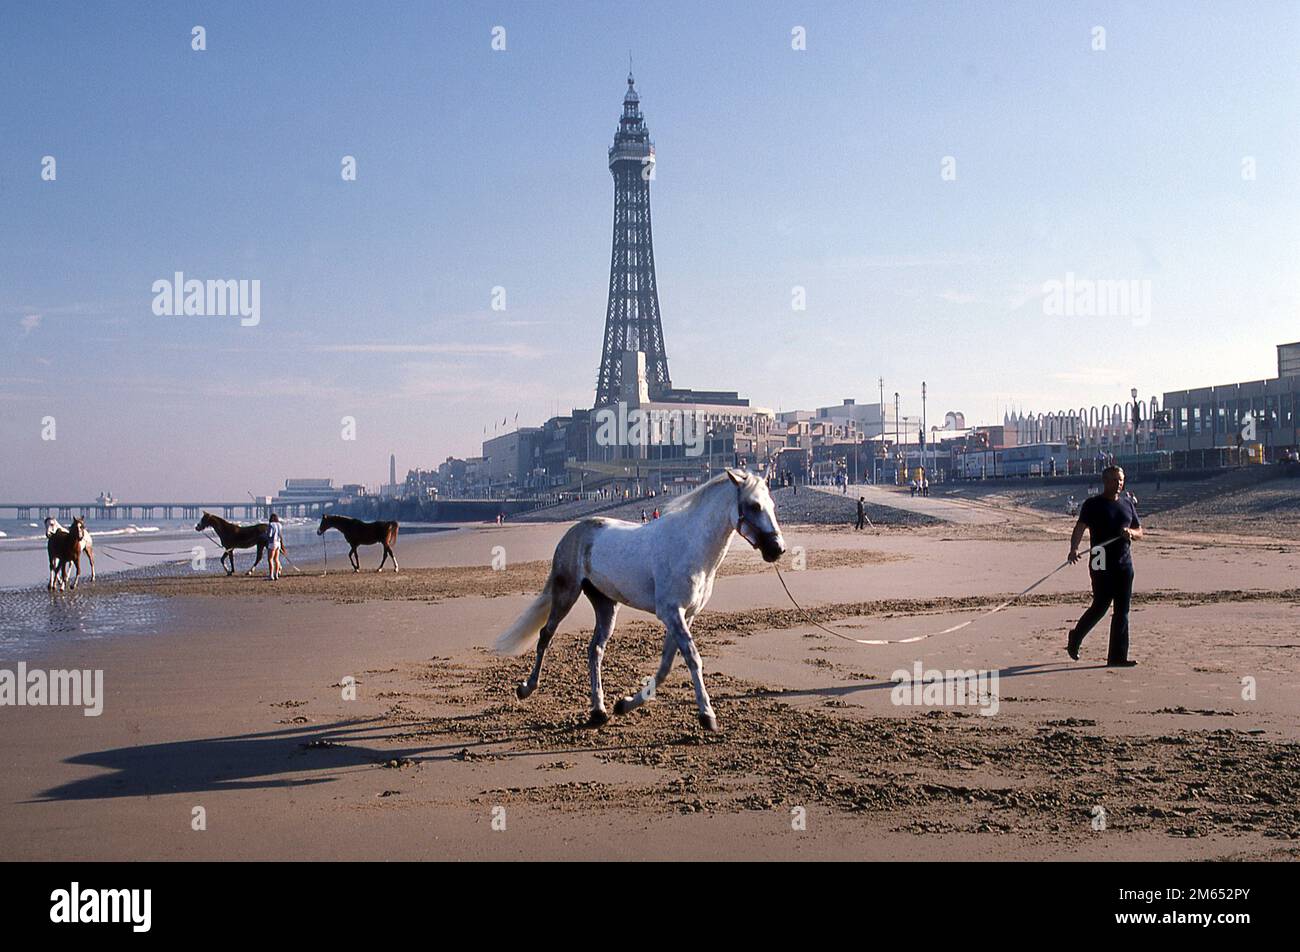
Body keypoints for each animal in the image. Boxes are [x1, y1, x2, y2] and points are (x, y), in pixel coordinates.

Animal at [493, 465, 780, 728]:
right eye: (754, 506)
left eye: (772, 505)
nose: (777, 548)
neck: (691, 546)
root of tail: (573, 532)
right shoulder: (671, 613)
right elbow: (692, 658)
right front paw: (707, 715)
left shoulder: (685, 615)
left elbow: (666, 665)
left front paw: (624, 704)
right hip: (566, 593)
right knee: (546, 635)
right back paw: (526, 688)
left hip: (606, 605)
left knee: (595, 649)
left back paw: (599, 711)